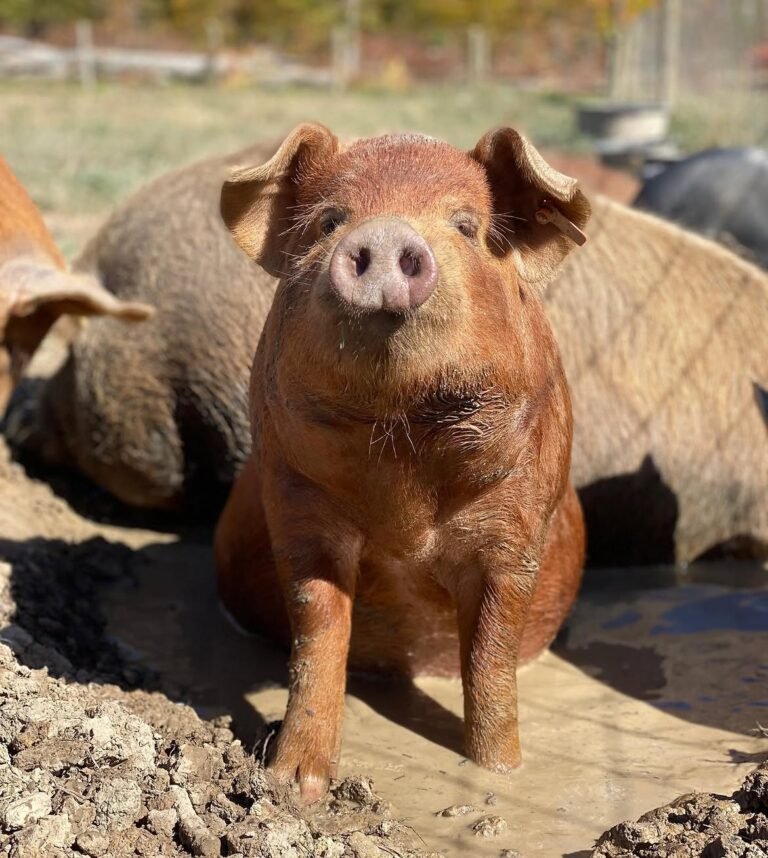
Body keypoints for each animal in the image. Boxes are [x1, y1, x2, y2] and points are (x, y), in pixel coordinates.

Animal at [214, 123, 591, 800]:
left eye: (467, 226)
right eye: (330, 221)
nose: (386, 232)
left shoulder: (519, 523)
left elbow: (492, 653)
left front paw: (502, 774)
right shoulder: (294, 497)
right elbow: (316, 627)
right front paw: (296, 787)